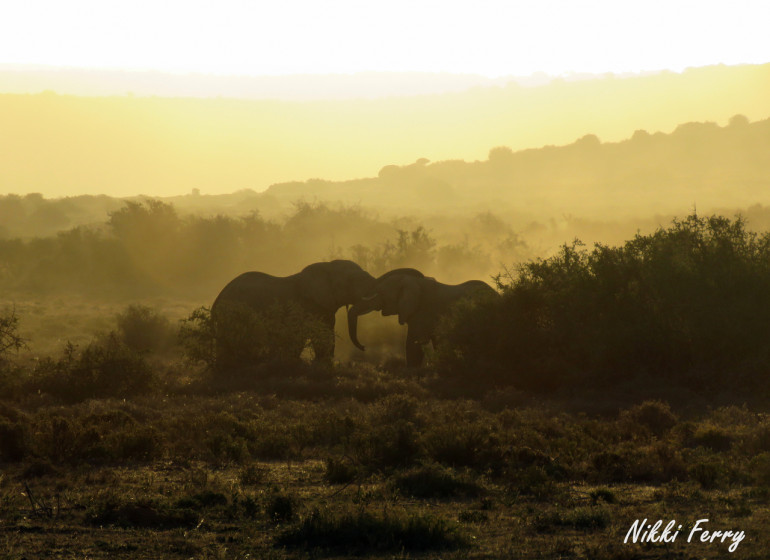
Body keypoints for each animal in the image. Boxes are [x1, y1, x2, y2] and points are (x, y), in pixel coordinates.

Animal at [210, 260, 376, 366]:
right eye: (352, 280)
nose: (364, 347)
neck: (327, 266)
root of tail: (219, 296)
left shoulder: (324, 307)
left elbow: (326, 333)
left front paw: (324, 363)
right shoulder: (307, 305)